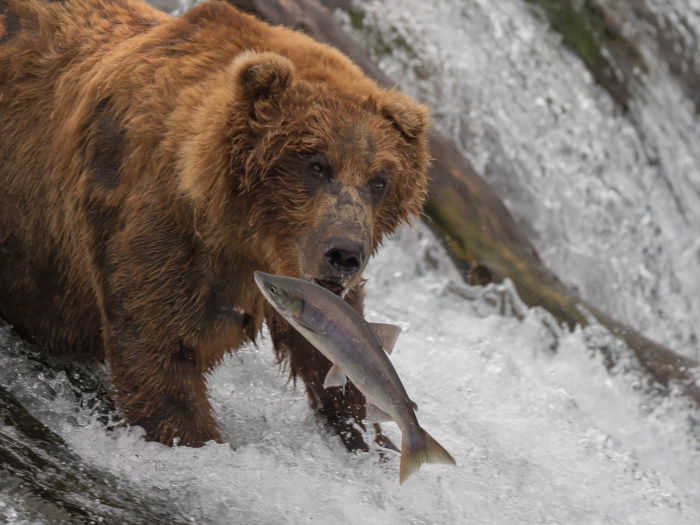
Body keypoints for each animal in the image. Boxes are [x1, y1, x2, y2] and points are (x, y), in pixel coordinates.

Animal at [0, 2, 430, 448]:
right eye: (316, 165)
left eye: (379, 180)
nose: (344, 254)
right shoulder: (160, 228)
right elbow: (159, 353)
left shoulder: (301, 283)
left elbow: (335, 362)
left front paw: (373, 440)